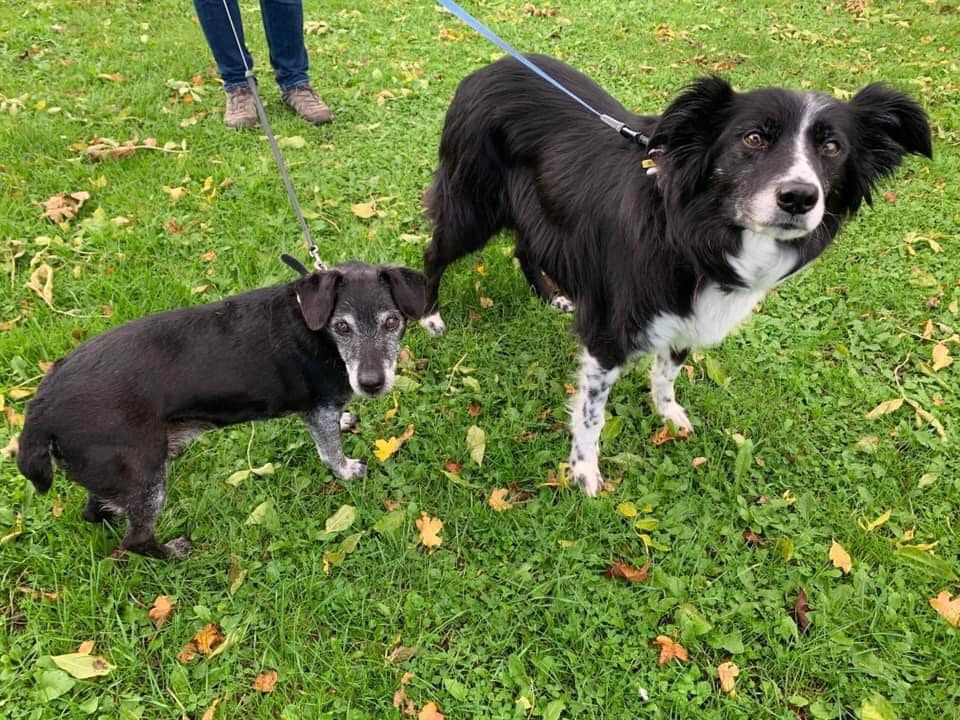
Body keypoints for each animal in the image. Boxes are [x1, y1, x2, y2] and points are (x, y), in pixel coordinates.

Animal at [15, 256, 424, 560]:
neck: (316, 328)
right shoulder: (318, 410)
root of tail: (40, 410)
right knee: (135, 539)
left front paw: (347, 420)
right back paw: (174, 553)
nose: (372, 384)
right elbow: (330, 452)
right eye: (342, 327)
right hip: (147, 476)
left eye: (392, 322)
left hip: (113, 473)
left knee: (95, 512)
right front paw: (347, 469)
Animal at [420, 54, 928, 496]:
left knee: (525, 247)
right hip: (470, 207)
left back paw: (551, 295)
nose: (800, 197)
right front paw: (584, 473)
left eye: (832, 147)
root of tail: (487, 69)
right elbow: (592, 414)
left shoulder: (691, 314)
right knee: (433, 254)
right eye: (753, 139)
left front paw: (668, 414)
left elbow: (667, 372)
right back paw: (428, 315)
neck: (692, 231)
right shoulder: (609, 332)